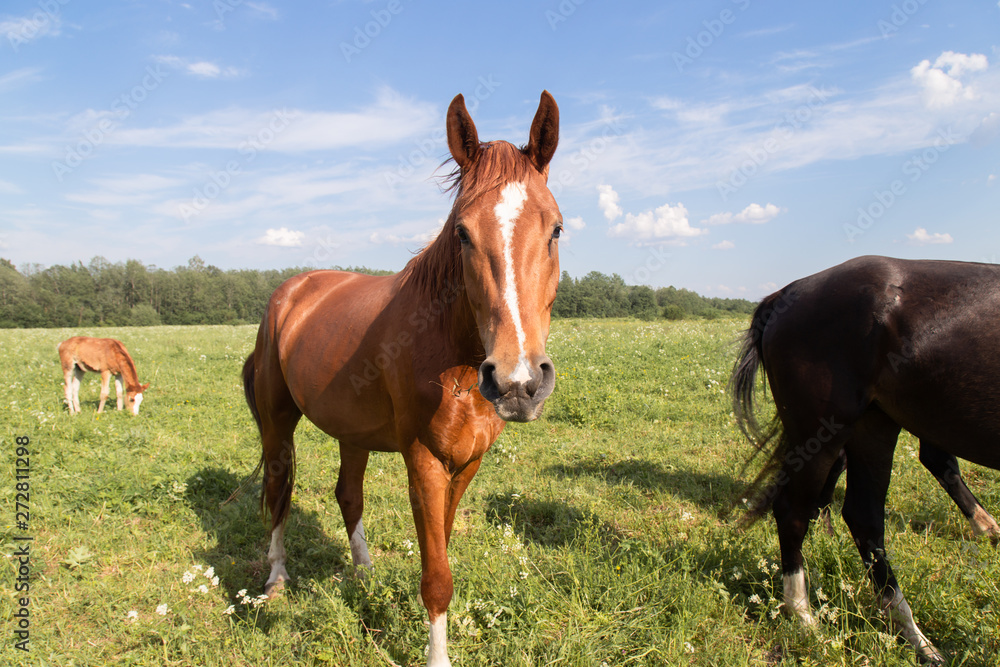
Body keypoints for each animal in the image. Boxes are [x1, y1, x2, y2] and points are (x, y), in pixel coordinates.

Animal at [239, 90, 560, 667]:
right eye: (462, 232)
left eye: (556, 229)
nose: (517, 382)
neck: (450, 355)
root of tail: (291, 292)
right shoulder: (424, 460)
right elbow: (436, 578)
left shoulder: (466, 463)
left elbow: (440, 553)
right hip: (278, 424)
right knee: (280, 489)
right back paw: (275, 579)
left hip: (352, 433)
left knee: (348, 495)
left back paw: (364, 575)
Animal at [732, 254, 1000, 664]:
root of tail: (789, 291)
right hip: (827, 429)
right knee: (795, 511)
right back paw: (804, 615)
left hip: (875, 426)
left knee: (864, 516)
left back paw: (915, 636)